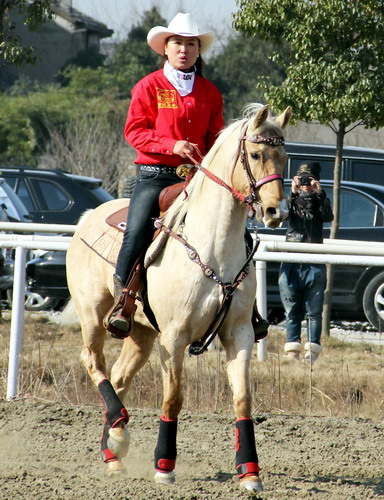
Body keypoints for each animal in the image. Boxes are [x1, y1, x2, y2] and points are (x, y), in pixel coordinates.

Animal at [67, 102, 292, 492]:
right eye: (255, 154)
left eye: (285, 156)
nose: (275, 211)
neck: (213, 246)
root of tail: (87, 217)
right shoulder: (173, 338)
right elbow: (173, 399)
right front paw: (164, 466)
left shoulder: (240, 334)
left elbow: (243, 399)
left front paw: (250, 472)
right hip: (93, 316)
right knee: (93, 362)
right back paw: (119, 429)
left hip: (141, 333)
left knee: (119, 377)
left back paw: (113, 450)